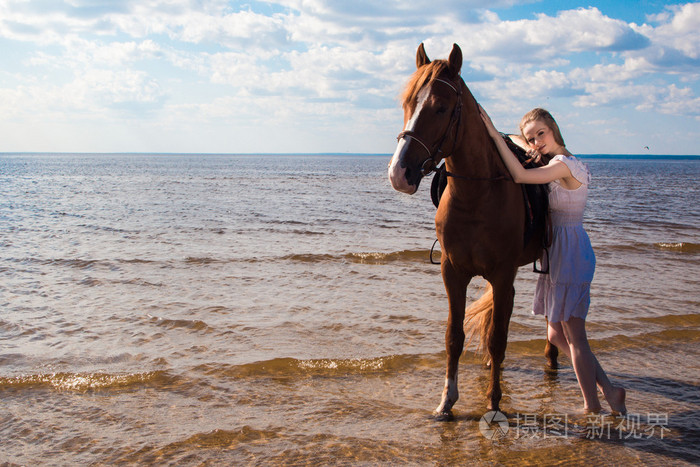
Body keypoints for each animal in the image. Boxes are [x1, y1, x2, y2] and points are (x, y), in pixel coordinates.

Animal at [388, 43, 557, 419]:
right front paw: (446, 401)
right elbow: (455, 336)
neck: (477, 195)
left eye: (440, 107)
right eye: (407, 104)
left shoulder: (503, 273)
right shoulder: (453, 272)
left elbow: (497, 338)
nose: (399, 173)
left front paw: (493, 402)